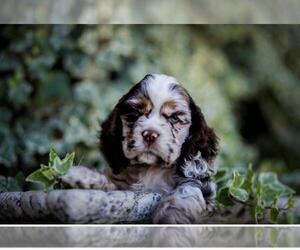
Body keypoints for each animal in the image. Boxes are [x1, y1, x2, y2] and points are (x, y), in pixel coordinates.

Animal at [62, 73, 218, 223]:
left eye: (174, 118)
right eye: (134, 114)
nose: (150, 134)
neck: (151, 169)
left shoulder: (200, 183)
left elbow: (186, 190)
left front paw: (171, 220)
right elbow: (110, 181)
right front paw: (84, 176)